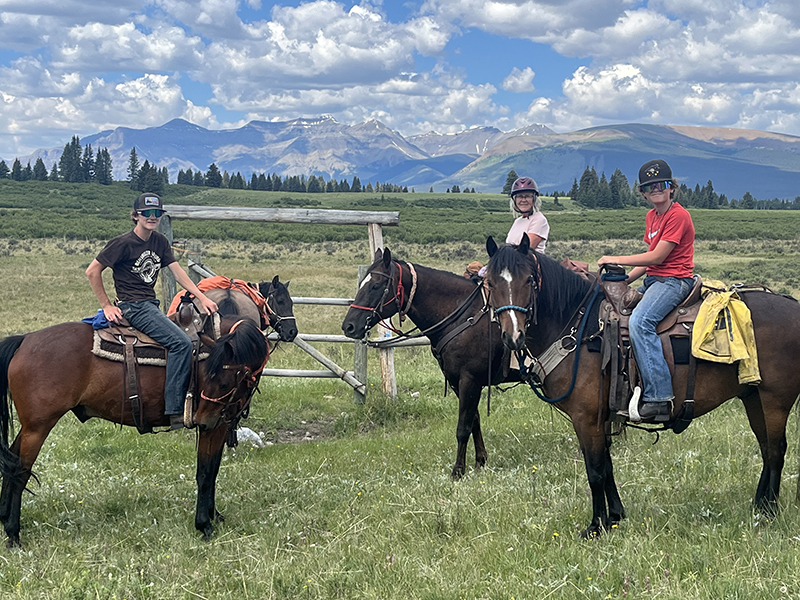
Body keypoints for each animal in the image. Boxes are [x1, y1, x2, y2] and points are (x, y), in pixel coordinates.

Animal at [0, 316, 268, 546]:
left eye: (223, 382)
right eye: (213, 380)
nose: (201, 420)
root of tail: (25, 340)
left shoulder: (219, 424)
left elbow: (213, 471)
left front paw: (215, 516)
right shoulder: (215, 427)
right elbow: (205, 473)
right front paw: (204, 525)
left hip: (30, 429)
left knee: (11, 463)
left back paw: (4, 520)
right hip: (38, 428)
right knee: (20, 472)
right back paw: (13, 534)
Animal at [341, 248, 518, 478]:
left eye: (376, 285)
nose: (349, 326)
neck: (464, 316)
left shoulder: (469, 380)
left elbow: (463, 427)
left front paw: (457, 471)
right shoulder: (458, 382)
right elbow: (474, 421)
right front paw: (480, 461)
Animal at [484, 234, 800, 537]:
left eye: (529, 280)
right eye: (490, 283)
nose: (513, 336)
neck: (581, 329)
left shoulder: (586, 418)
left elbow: (595, 470)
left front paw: (595, 526)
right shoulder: (602, 417)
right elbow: (607, 466)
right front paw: (614, 516)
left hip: (775, 401)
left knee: (775, 450)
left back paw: (769, 512)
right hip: (753, 397)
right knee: (766, 448)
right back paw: (759, 505)